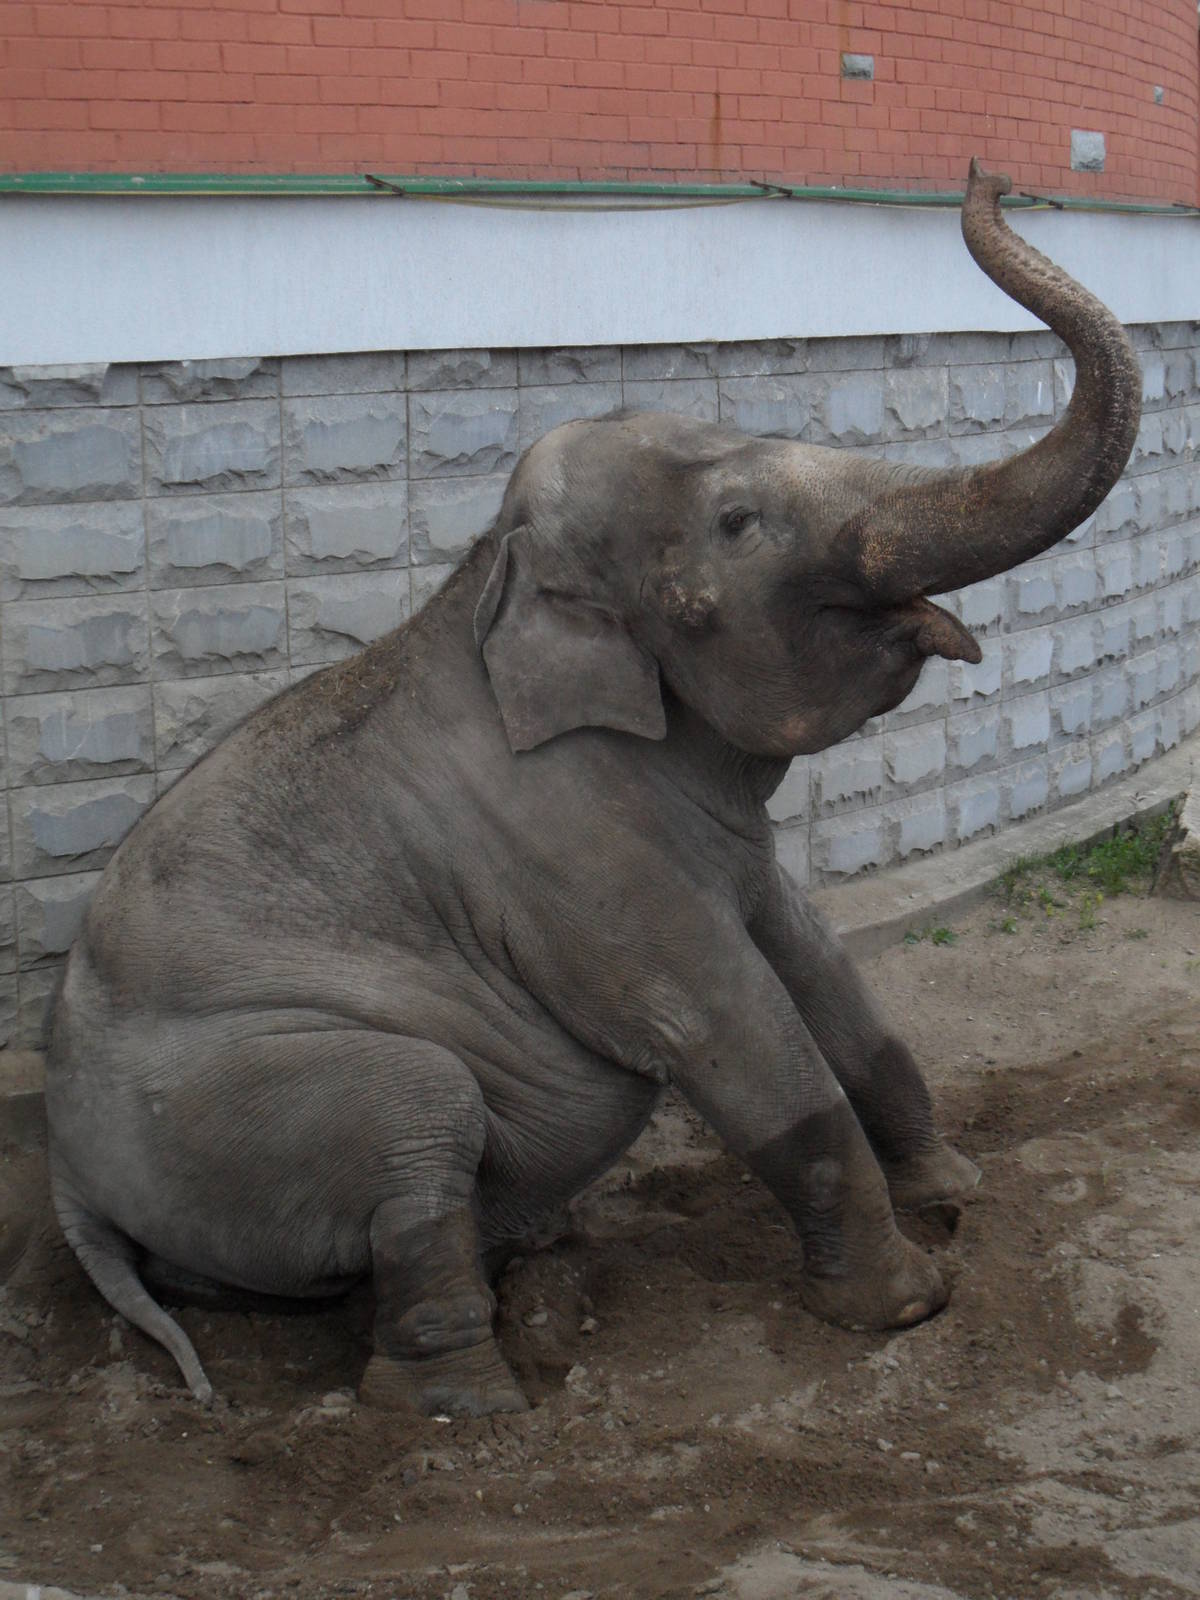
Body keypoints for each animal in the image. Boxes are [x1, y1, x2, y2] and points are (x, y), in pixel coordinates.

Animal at [44, 161, 1140, 1417]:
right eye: (739, 523)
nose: (987, 175)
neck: (490, 576)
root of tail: (67, 1174)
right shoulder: (566, 855)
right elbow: (733, 1026)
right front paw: (908, 1302)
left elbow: (820, 967)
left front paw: (956, 1191)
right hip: (236, 1105)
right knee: (420, 1105)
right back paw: (472, 1395)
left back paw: (544, 1254)